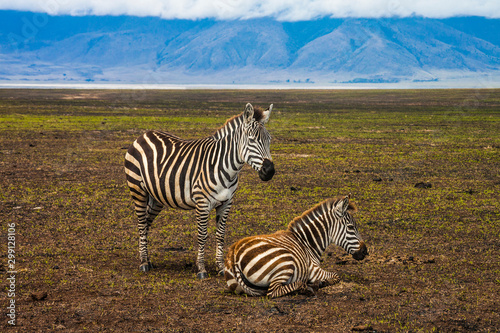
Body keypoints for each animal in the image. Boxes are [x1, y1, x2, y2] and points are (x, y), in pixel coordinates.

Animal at [123, 103, 276, 278]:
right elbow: (202, 235)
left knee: (147, 222)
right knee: (142, 223)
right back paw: (143, 263)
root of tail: (143, 135)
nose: (269, 171)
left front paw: (220, 268)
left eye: (269, 140)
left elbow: (220, 235)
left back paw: (147, 260)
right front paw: (201, 269)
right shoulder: (202, 203)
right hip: (137, 189)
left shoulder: (226, 203)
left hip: (156, 197)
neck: (224, 166)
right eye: (251, 140)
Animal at [224, 193, 368, 296]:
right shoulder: (314, 271)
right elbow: (336, 276)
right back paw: (306, 288)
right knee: (272, 292)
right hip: (286, 261)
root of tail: (234, 253)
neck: (307, 243)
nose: (365, 252)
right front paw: (321, 283)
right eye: (350, 227)